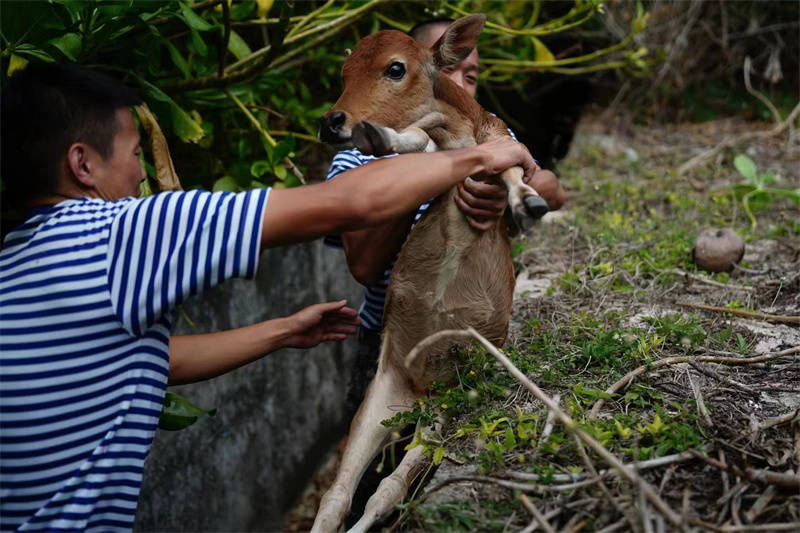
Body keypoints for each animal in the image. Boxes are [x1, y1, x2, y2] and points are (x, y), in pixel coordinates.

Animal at [312, 14, 544, 528]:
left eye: (396, 68)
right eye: (343, 72)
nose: (333, 122)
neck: (462, 131)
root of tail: (419, 390)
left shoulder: (505, 142)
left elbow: (511, 168)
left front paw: (529, 203)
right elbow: (418, 142)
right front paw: (381, 138)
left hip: (447, 399)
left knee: (387, 490)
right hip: (385, 391)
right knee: (342, 491)